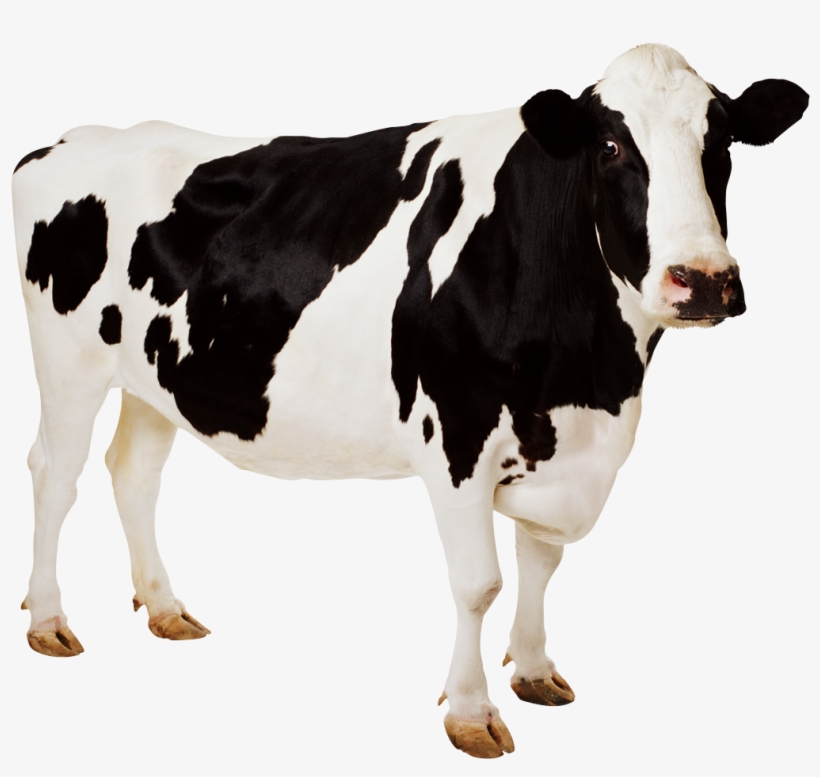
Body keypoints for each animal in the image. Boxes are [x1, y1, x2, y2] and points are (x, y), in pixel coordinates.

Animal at [11, 43, 808, 758]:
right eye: (611, 145)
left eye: (722, 142)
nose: (703, 280)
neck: (592, 375)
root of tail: (67, 141)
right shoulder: (456, 435)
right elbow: (480, 582)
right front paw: (471, 712)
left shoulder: (565, 445)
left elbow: (542, 561)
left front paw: (536, 671)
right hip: (68, 363)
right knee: (54, 474)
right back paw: (48, 620)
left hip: (157, 377)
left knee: (134, 474)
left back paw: (166, 608)